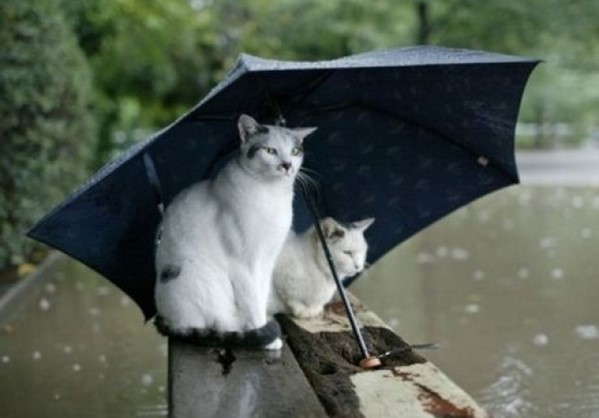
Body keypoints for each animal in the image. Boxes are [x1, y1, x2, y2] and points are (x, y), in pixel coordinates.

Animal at [152, 114, 316, 350]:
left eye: (295, 151)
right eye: (270, 151)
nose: (287, 165)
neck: (271, 195)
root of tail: (166, 319)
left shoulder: (267, 261)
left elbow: (261, 295)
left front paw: (263, 325)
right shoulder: (243, 265)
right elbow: (252, 303)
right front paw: (266, 336)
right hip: (201, 276)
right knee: (214, 323)